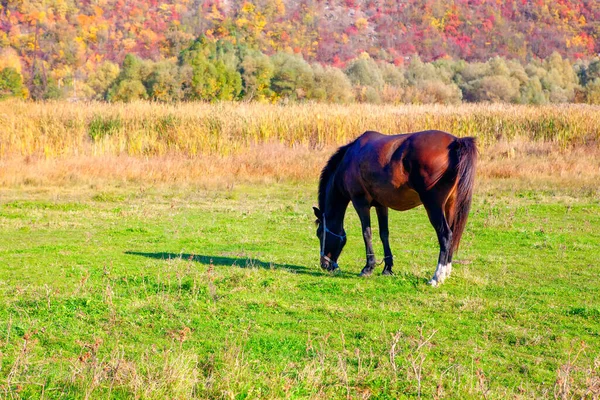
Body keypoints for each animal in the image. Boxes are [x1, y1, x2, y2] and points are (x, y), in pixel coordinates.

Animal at [314, 130, 478, 286]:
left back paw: (437, 277)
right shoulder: (381, 205)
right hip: (451, 206)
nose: (325, 265)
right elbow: (384, 234)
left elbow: (367, 233)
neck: (349, 160)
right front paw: (387, 268)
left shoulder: (360, 203)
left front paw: (368, 267)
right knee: (453, 234)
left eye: (320, 233)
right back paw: (446, 272)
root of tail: (456, 142)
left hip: (434, 206)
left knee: (445, 235)